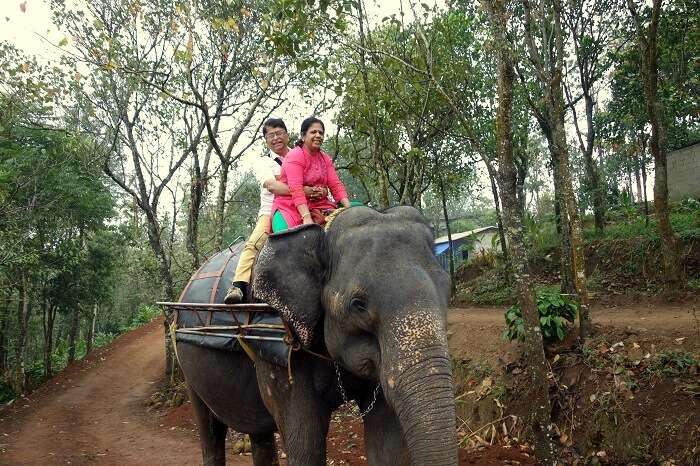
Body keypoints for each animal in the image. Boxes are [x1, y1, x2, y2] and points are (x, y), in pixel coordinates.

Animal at [175, 208, 456, 466]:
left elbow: (387, 442)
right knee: (210, 431)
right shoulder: (278, 343)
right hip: (188, 366)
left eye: (447, 288)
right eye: (358, 305)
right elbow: (305, 442)